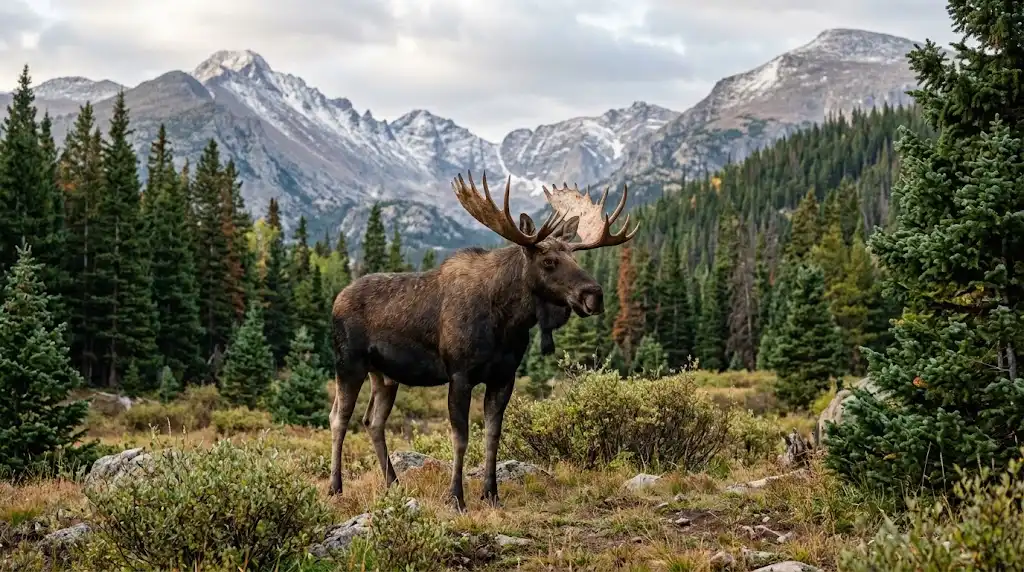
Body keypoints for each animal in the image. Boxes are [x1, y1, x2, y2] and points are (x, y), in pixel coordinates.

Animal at [328, 171, 637, 511]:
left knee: (373, 421)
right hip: (348, 362)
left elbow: (493, 434)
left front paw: (491, 493)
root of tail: (336, 300)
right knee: (339, 418)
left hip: (385, 375)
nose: (594, 295)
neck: (507, 323)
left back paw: (394, 484)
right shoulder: (459, 374)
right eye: (548, 261)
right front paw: (456, 497)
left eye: (575, 257)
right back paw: (335, 487)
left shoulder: (503, 376)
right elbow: (460, 437)